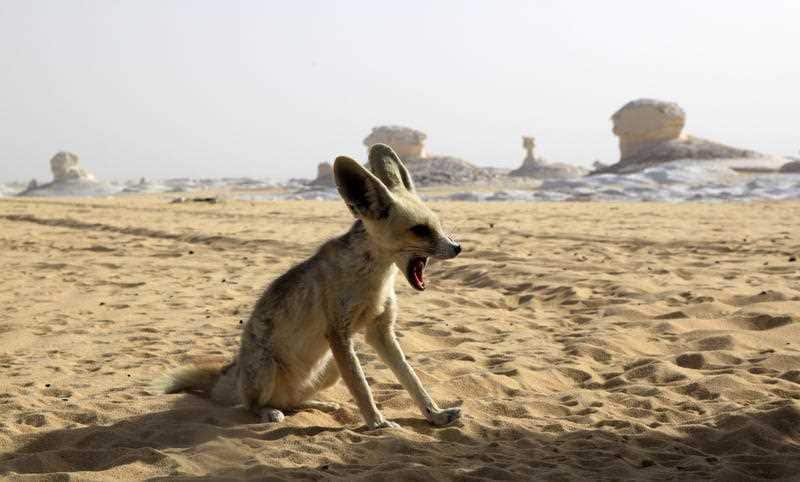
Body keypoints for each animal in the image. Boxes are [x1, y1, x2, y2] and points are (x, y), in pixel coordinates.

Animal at [161, 143, 463, 429]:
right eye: (420, 230)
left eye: (438, 225)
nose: (457, 247)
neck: (374, 280)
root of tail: (232, 371)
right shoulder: (339, 333)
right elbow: (362, 387)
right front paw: (377, 423)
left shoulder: (379, 332)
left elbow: (411, 379)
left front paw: (435, 415)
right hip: (270, 368)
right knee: (252, 405)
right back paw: (269, 412)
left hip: (330, 368)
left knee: (293, 401)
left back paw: (320, 405)